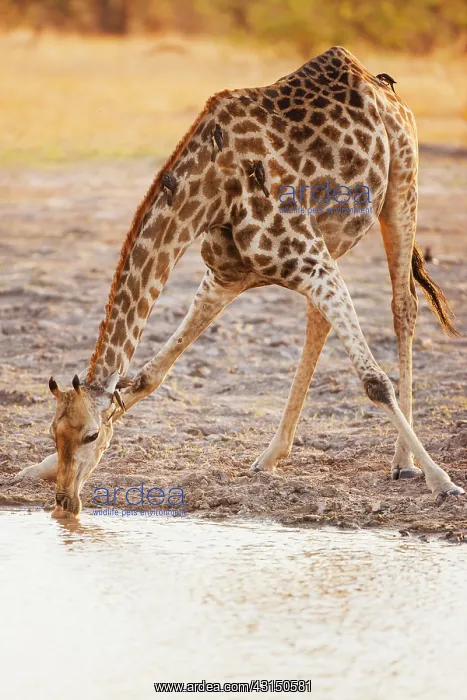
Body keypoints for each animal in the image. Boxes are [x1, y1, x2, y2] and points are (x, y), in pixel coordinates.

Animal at [14, 46, 463, 518]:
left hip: (402, 187)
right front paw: (37, 469)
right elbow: (147, 376)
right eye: (52, 432)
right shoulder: (226, 277)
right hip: (334, 238)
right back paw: (270, 456)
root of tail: (379, 81)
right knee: (319, 320)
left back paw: (404, 462)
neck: (211, 194)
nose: (65, 502)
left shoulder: (310, 261)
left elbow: (374, 382)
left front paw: (443, 482)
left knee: (403, 305)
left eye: (91, 435)